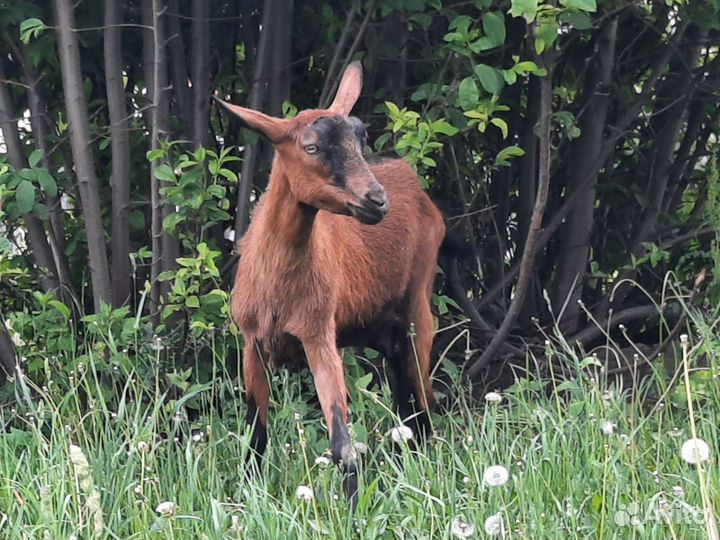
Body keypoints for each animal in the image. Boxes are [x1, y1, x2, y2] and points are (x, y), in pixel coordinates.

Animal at [216, 62, 445, 503]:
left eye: (361, 138)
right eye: (311, 147)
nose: (377, 200)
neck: (277, 285)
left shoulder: (318, 334)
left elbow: (343, 445)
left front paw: (353, 509)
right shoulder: (254, 343)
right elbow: (256, 436)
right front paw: (246, 497)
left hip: (418, 312)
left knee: (424, 406)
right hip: (381, 328)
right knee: (405, 405)